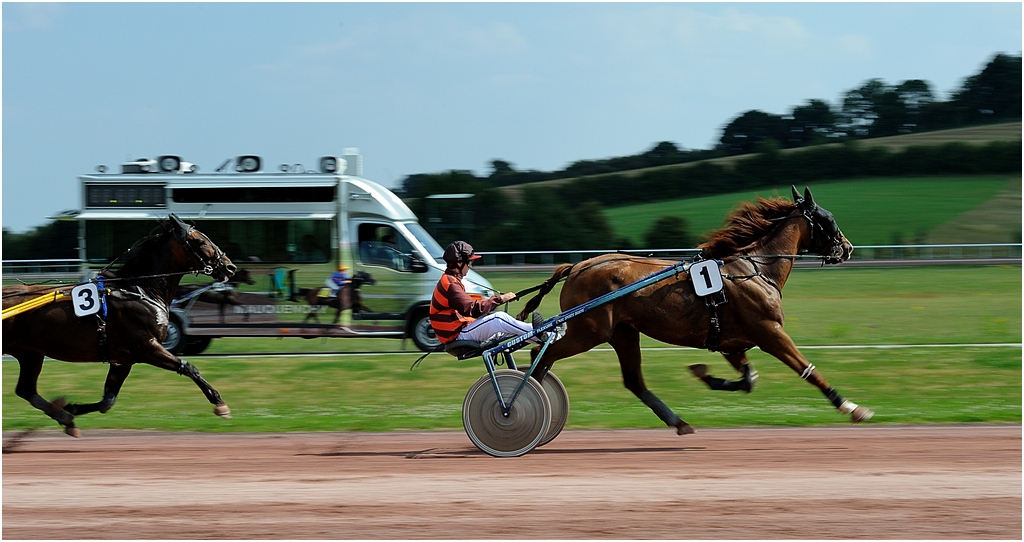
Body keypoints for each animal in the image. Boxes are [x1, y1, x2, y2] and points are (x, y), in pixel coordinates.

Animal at [2, 214, 237, 437]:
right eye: (200, 241)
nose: (229, 266)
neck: (139, 290)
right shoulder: (147, 347)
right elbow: (189, 368)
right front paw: (220, 404)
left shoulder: (123, 359)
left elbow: (108, 401)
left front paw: (73, 408)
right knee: (26, 390)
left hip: (30, 353)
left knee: (26, 390)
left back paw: (66, 419)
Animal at [516, 186, 873, 436]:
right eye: (828, 220)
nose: (848, 248)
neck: (756, 268)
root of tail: (577, 266)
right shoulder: (770, 332)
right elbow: (808, 370)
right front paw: (853, 407)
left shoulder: (732, 343)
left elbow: (747, 380)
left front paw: (704, 374)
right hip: (589, 331)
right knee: (541, 356)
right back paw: (521, 403)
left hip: (623, 333)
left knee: (632, 380)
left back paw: (679, 422)